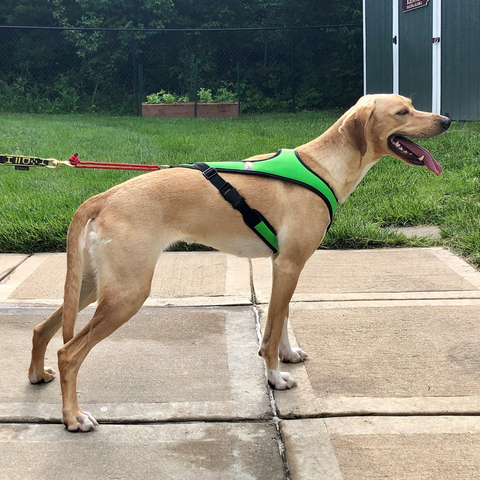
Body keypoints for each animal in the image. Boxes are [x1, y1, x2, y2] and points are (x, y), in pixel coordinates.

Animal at [29, 94, 450, 432]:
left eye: (412, 105)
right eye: (402, 112)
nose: (446, 120)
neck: (322, 166)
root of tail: (102, 197)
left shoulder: (284, 266)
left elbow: (280, 318)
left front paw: (286, 356)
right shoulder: (290, 265)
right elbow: (271, 331)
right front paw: (276, 377)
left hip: (93, 286)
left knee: (41, 329)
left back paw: (36, 374)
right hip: (127, 294)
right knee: (69, 353)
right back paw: (72, 417)